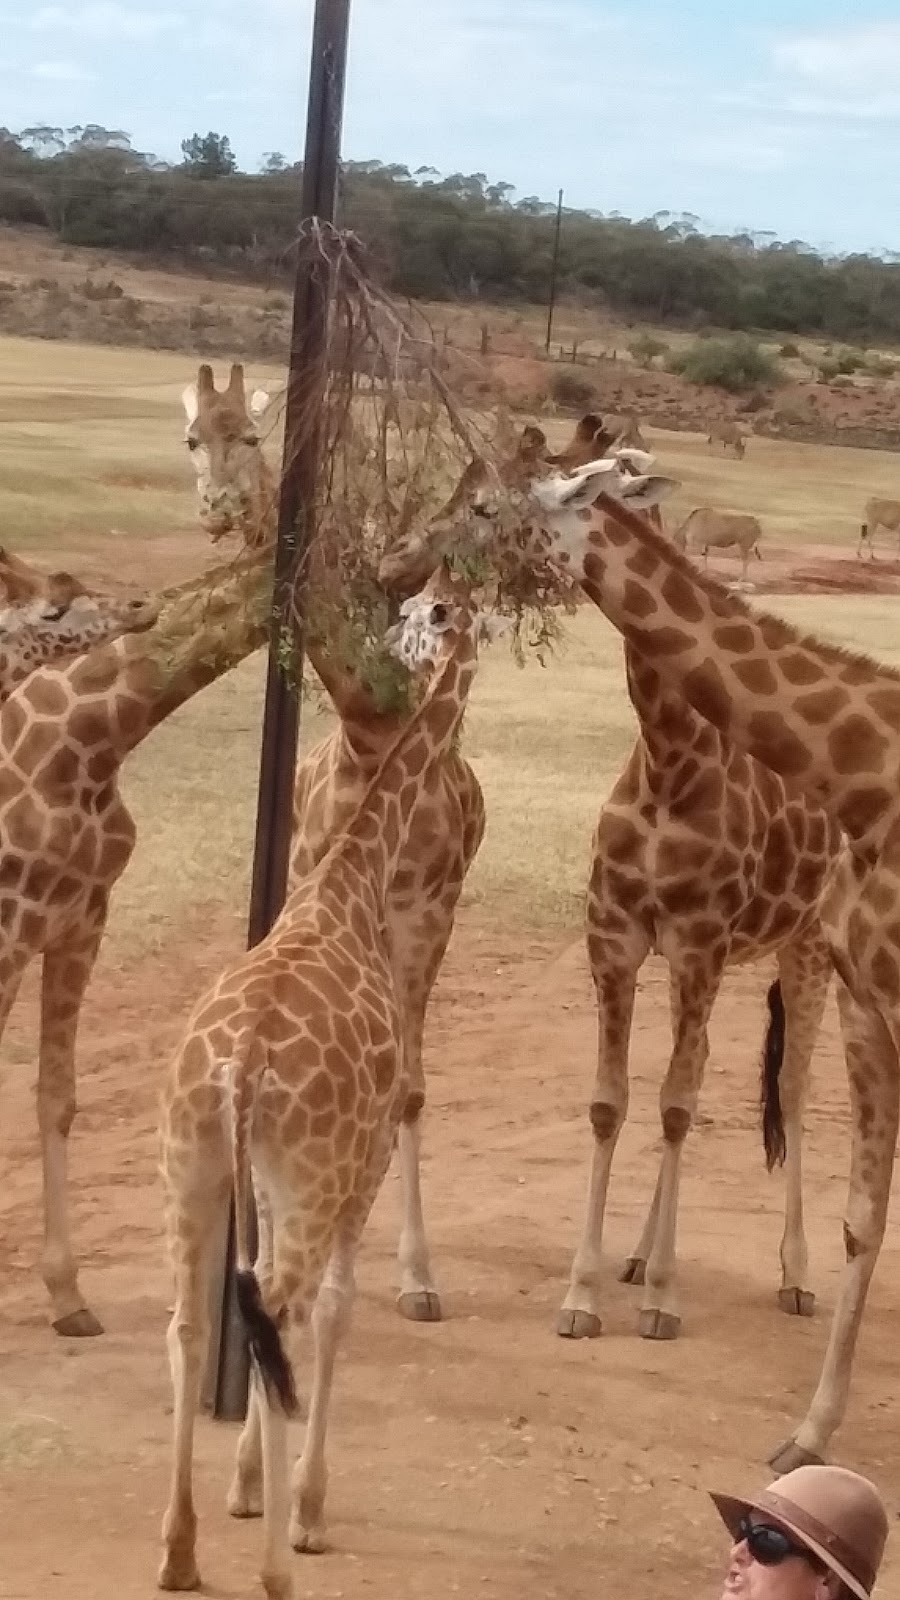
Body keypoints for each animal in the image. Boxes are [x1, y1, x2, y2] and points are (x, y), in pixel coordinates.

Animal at [0, 550, 269, 1337]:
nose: (143, 604)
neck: (92, 742)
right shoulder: (10, 925)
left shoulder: (79, 919)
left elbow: (56, 1098)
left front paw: (68, 1295)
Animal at [157, 569, 499, 1593]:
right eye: (422, 612)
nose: (389, 645)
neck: (349, 876)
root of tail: (236, 1072)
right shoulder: (362, 1158)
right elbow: (336, 1310)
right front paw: (300, 1506)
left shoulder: (273, 1181)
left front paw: (245, 1487)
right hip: (305, 1178)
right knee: (276, 1308)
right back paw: (278, 1563)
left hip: (190, 1165)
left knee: (194, 1324)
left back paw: (179, 1548)